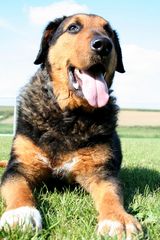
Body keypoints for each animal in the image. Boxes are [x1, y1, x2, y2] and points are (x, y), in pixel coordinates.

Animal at [0, 14, 141, 239]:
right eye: (73, 28)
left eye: (108, 31)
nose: (104, 45)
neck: (68, 116)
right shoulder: (20, 167)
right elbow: (18, 188)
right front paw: (21, 214)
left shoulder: (102, 172)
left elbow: (111, 194)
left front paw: (118, 220)